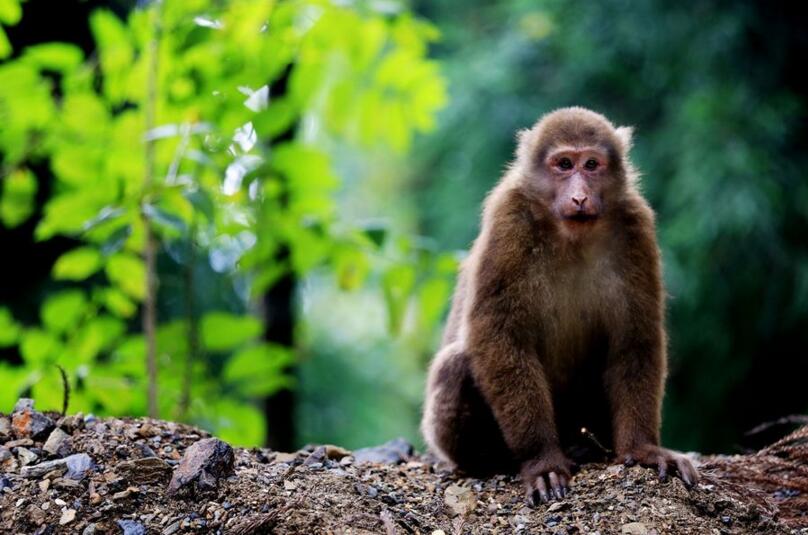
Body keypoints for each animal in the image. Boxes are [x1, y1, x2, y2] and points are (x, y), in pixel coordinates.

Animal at [420, 107, 696, 504]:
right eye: (564, 164)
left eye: (591, 164)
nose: (580, 196)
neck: (571, 237)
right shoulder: (509, 217)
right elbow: (499, 335)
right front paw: (542, 460)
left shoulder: (635, 224)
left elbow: (635, 337)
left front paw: (642, 449)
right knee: (456, 364)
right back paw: (495, 460)